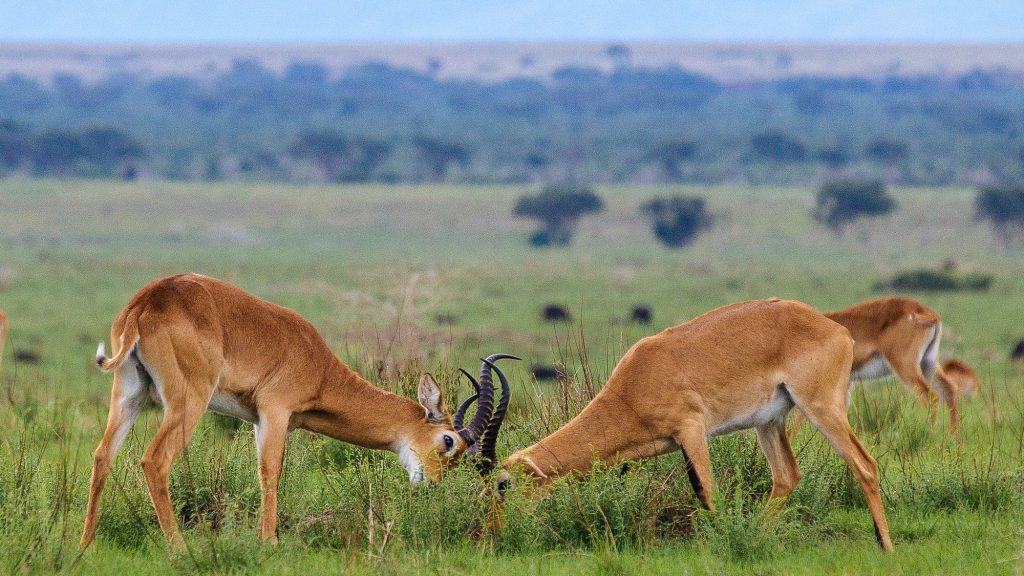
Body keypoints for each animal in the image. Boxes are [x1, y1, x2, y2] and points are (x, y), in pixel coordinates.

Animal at [79, 272, 516, 545]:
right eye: (448, 441)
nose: (432, 485)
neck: (317, 363)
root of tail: (147, 301)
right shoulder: (274, 413)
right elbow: (270, 472)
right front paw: (269, 542)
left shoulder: (268, 422)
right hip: (188, 401)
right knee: (154, 460)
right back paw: (179, 550)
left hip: (130, 394)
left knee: (102, 455)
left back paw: (85, 546)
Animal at [499, 297, 892, 549]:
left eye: (503, 485)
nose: (496, 530)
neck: (636, 381)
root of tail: (836, 328)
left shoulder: (691, 431)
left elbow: (706, 492)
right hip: (769, 421)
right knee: (787, 476)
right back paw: (755, 536)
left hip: (821, 408)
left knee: (865, 464)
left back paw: (885, 545)